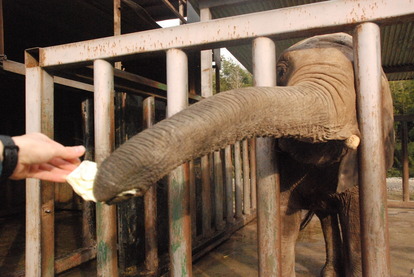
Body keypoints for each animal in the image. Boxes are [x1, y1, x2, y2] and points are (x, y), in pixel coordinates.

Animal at [92, 33, 392, 276]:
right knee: (326, 217)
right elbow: (282, 220)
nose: (103, 191)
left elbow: (359, 224)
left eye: (360, 75)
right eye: (280, 71)